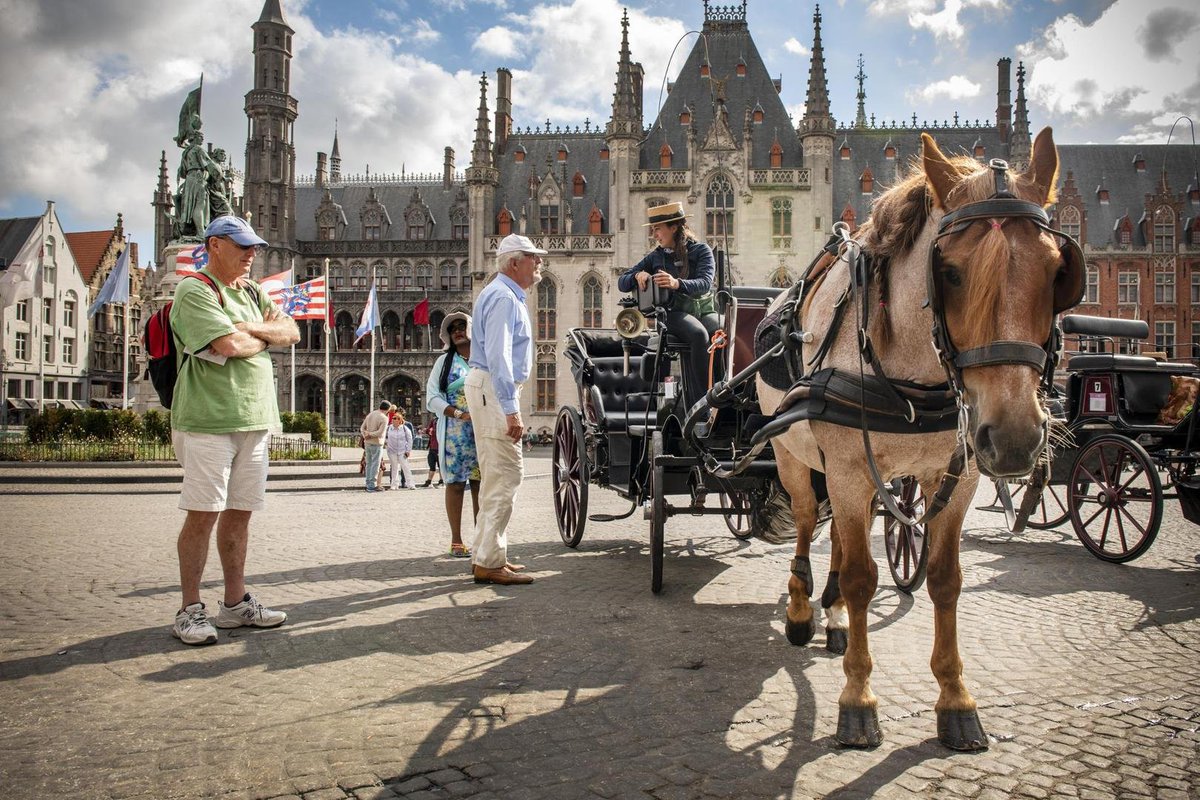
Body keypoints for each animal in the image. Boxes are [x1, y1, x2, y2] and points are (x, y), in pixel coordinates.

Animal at [755, 127, 1084, 750]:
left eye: (1059, 272)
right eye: (949, 272)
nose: (1014, 437)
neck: (912, 370)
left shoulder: (958, 477)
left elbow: (944, 579)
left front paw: (956, 699)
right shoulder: (848, 469)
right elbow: (863, 578)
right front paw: (858, 699)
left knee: (843, 537)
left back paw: (833, 618)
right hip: (794, 455)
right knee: (809, 525)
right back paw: (804, 610)